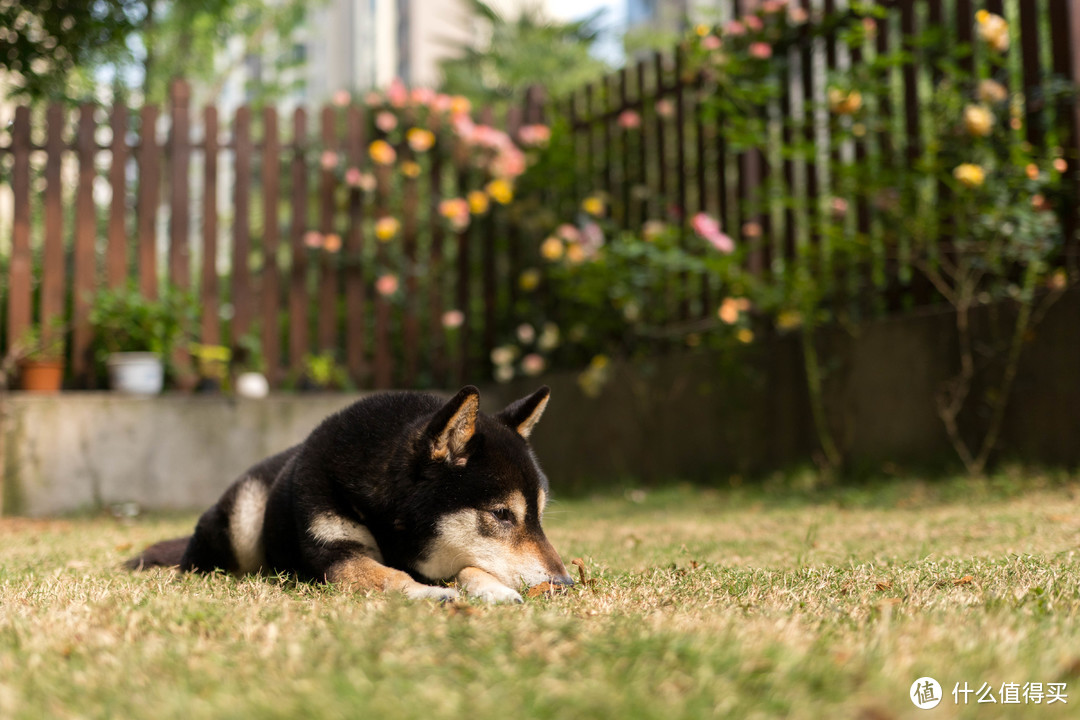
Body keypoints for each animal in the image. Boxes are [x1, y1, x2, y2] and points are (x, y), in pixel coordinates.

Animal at [126, 388, 574, 604]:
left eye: (538, 516)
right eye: (501, 514)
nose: (566, 582)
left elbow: (469, 567)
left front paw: (493, 589)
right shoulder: (335, 553)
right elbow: (384, 575)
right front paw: (425, 593)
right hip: (241, 520)